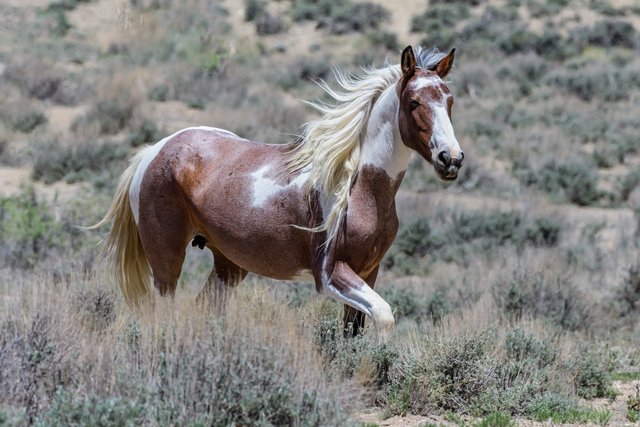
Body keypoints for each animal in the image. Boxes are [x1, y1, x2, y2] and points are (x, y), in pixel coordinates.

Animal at [94, 46, 464, 342]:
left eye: (449, 101)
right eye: (414, 102)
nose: (451, 159)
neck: (358, 187)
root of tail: (153, 151)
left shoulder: (369, 271)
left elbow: (353, 333)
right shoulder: (331, 274)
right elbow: (384, 317)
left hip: (228, 266)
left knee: (203, 308)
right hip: (167, 260)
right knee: (162, 313)